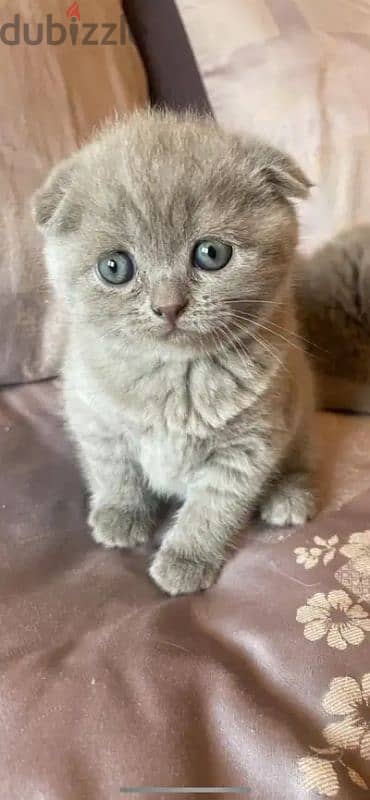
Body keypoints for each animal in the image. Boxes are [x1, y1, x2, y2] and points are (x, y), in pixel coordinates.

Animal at [31, 109, 316, 592]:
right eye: (114, 267)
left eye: (211, 253)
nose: (168, 305)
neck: (174, 376)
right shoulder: (93, 417)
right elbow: (114, 470)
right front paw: (120, 514)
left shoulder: (248, 445)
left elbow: (213, 508)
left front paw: (186, 558)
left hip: (299, 408)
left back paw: (290, 495)